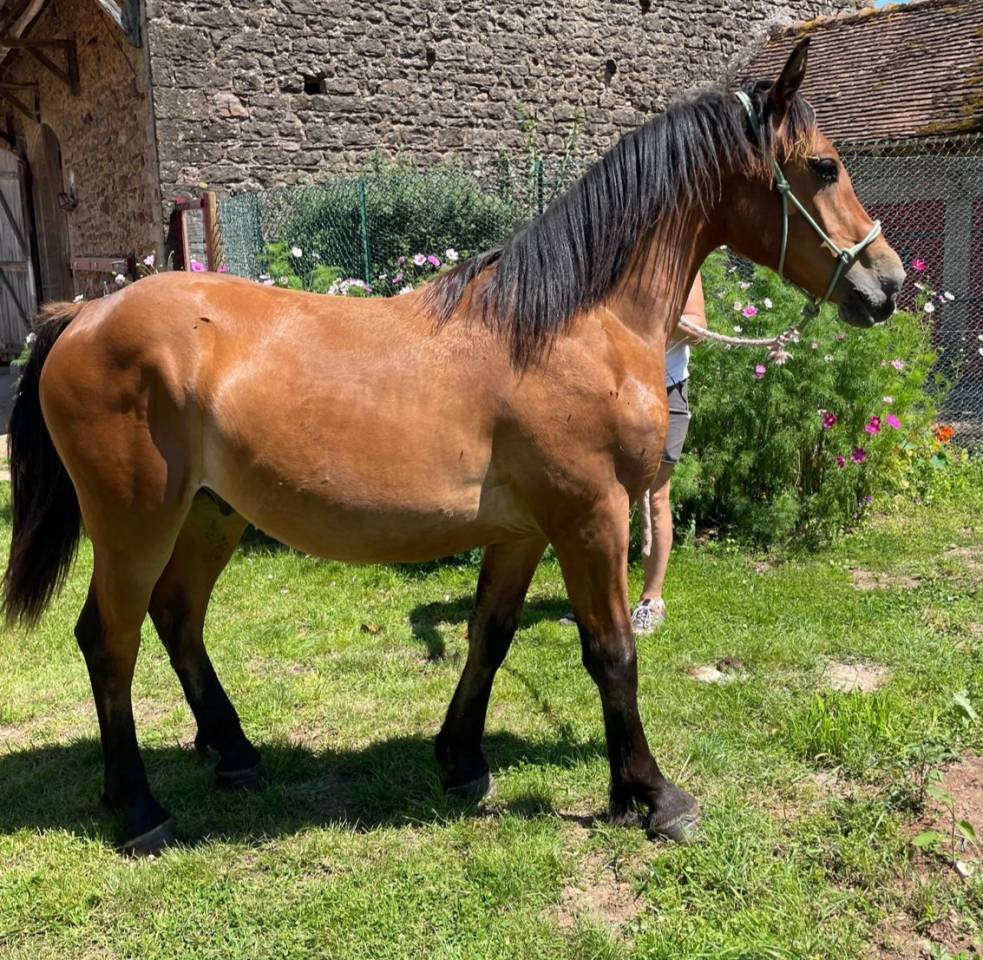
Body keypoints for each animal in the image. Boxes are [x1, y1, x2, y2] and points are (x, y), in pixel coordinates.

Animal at [3, 39, 905, 854]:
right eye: (823, 166)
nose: (888, 284)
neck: (575, 323)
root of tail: (81, 315)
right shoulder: (591, 517)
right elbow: (610, 652)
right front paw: (651, 795)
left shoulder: (525, 530)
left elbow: (490, 636)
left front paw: (462, 758)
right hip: (135, 522)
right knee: (110, 641)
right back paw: (138, 809)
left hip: (210, 513)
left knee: (178, 618)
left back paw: (233, 751)